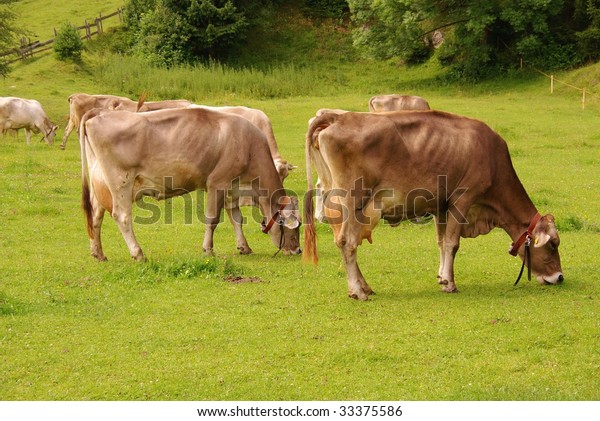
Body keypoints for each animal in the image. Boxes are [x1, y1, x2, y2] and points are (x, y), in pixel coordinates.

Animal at [58, 93, 190, 149]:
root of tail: (75, 95)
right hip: (79, 119)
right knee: (77, 131)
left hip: (73, 119)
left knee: (67, 130)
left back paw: (62, 146)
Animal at [79, 106, 302, 260]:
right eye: (293, 225)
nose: (297, 250)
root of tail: (97, 114)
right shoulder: (217, 183)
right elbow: (213, 219)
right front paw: (208, 250)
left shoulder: (233, 188)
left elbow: (236, 218)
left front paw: (244, 247)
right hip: (120, 182)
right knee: (122, 216)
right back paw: (138, 253)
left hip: (101, 183)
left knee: (96, 215)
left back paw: (98, 253)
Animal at [304, 108, 564, 298]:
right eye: (553, 244)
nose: (560, 277)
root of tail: (339, 116)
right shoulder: (463, 199)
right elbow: (452, 243)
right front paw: (450, 283)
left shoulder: (441, 205)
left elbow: (441, 242)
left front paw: (441, 277)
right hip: (352, 200)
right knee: (347, 242)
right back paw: (358, 291)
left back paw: (364, 286)